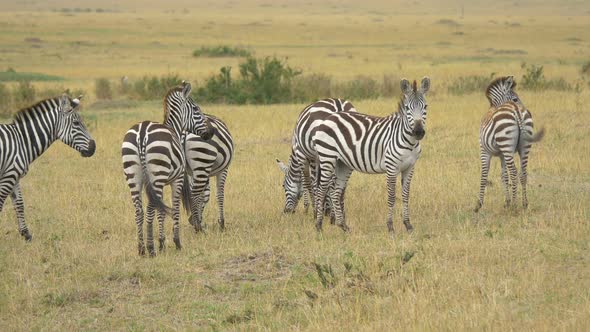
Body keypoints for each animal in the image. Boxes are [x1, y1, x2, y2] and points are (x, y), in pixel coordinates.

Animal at [0, 93, 96, 241]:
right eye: (76, 123)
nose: (94, 148)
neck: (22, 141)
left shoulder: (14, 176)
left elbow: (20, 204)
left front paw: (26, 234)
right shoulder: (8, 176)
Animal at [121, 83, 212, 256]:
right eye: (196, 109)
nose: (210, 134)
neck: (174, 129)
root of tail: (142, 132)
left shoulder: (160, 182)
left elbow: (162, 210)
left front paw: (162, 243)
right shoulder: (176, 179)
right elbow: (174, 208)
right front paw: (175, 242)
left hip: (134, 175)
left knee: (139, 211)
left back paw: (141, 249)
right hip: (157, 174)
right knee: (150, 208)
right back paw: (151, 249)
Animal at [310, 78, 430, 233]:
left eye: (425, 107)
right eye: (408, 108)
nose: (418, 132)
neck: (409, 142)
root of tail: (329, 117)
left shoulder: (410, 168)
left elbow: (405, 195)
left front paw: (408, 225)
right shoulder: (391, 167)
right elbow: (392, 196)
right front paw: (390, 226)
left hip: (343, 163)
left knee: (336, 192)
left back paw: (343, 226)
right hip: (327, 158)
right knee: (321, 190)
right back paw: (319, 226)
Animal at [474, 76, 548, 211]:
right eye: (515, 99)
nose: (530, 111)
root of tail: (516, 110)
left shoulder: (484, 150)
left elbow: (484, 175)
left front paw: (479, 204)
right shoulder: (502, 154)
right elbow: (504, 176)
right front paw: (507, 202)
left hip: (506, 144)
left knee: (514, 172)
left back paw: (514, 205)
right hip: (523, 146)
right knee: (523, 173)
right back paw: (524, 203)